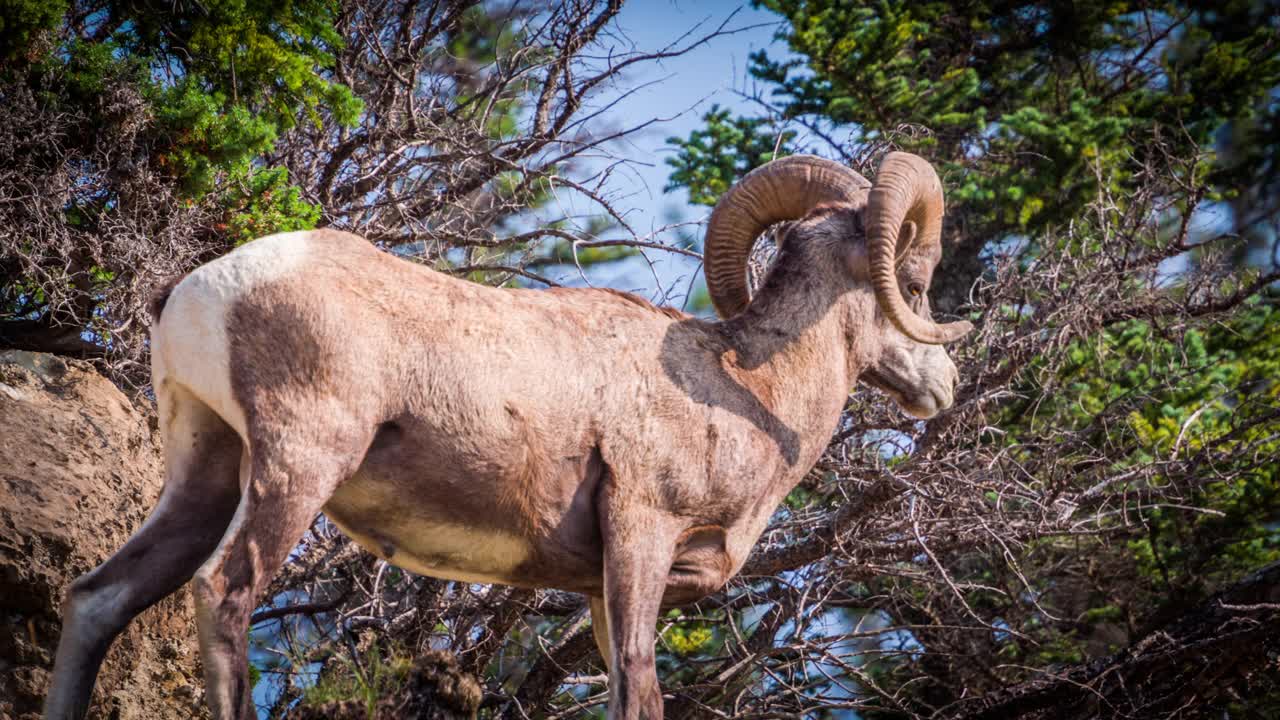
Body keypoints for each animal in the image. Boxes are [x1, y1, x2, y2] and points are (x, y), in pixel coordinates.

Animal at [45, 151, 962, 717]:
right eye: (915, 279)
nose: (943, 385)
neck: (736, 383)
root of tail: (200, 291)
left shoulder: (601, 590)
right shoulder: (641, 535)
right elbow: (639, 688)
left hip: (203, 473)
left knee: (98, 599)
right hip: (295, 470)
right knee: (227, 593)